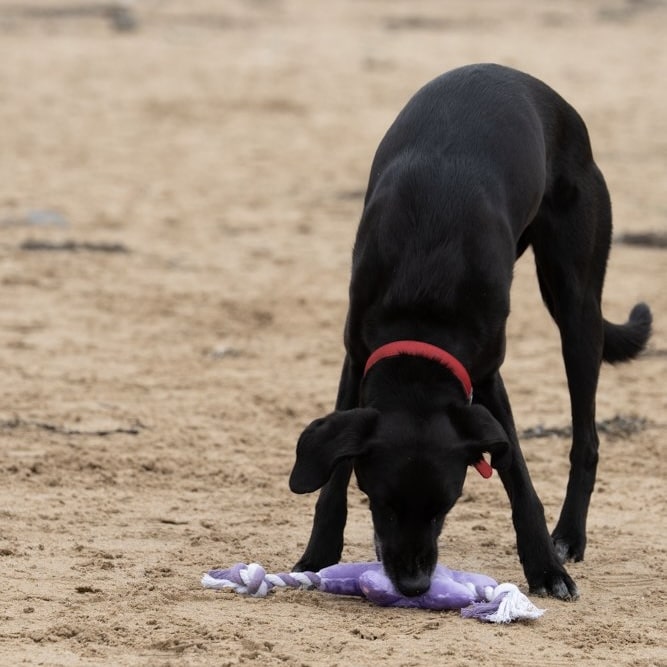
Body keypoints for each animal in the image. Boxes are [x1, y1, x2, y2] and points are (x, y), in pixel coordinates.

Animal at [288, 65, 652, 604]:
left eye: (445, 507)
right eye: (382, 503)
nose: (414, 586)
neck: (422, 310)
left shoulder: (484, 372)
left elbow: (516, 471)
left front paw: (545, 567)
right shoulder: (356, 356)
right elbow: (334, 475)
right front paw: (317, 556)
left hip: (577, 307)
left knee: (585, 437)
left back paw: (569, 536)